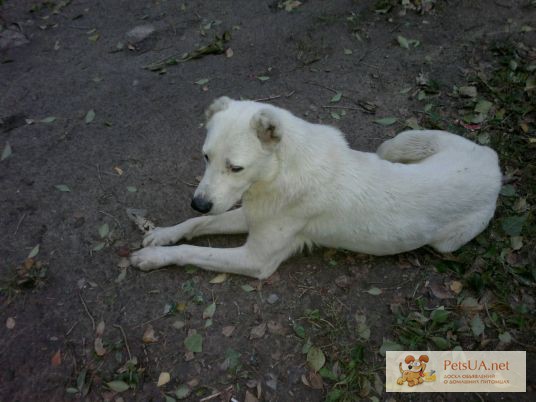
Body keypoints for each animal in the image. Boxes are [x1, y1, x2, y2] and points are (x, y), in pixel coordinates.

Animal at [131, 98, 502, 280]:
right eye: (205, 156)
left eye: (235, 167)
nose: (198, 202)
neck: (279, 172)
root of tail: (494, 163)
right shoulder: (249, 213)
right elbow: (198, 225)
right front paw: (162, 233)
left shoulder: (256, 260)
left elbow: (194, 251)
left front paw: (154, 258)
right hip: (399, 143)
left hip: (446, 241)